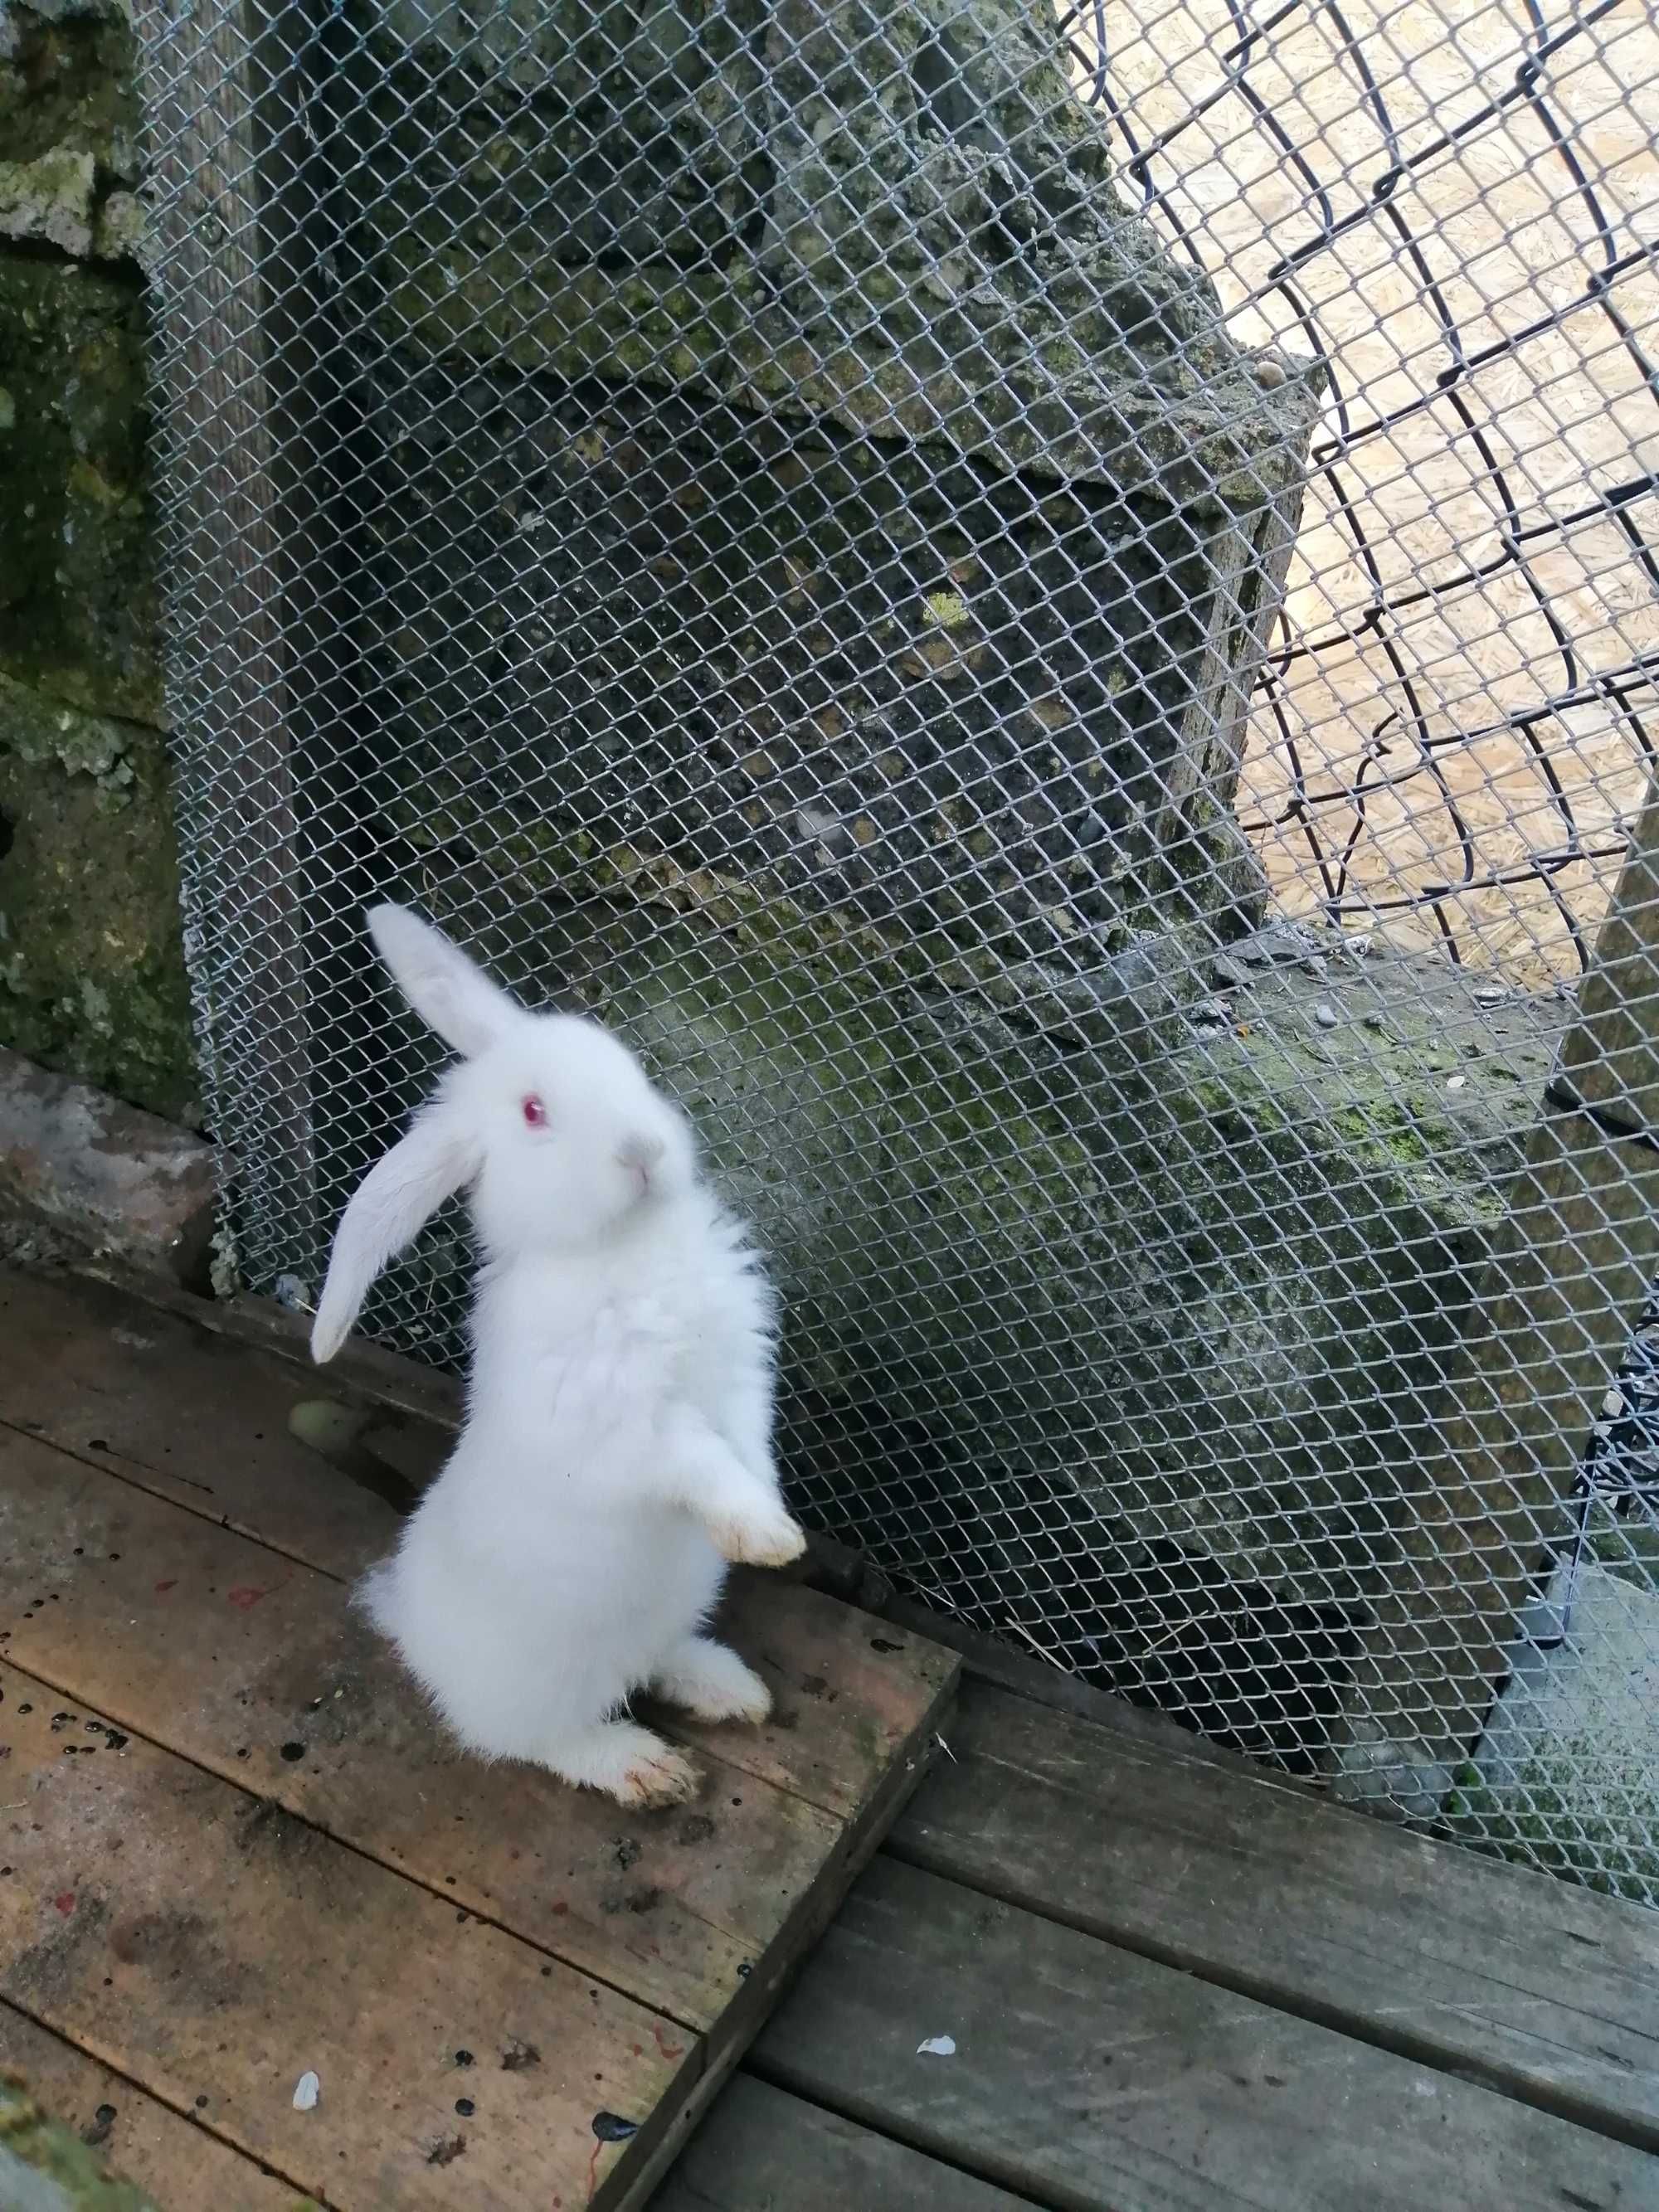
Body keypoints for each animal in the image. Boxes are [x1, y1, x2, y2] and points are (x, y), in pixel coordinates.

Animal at [314, 907, 810, 1805]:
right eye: (535, 1112)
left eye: (626, 1062)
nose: (642, 1149)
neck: (620, 1244)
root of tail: (406, 1614)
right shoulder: (623, 1426)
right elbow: (695, 1457)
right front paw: (762, 1533)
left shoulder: (740, 1375)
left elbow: (749, 1445)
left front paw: (770, 1523)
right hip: (537, 1686)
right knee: (531, 1738)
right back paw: (643, 1767)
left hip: (664, 1615)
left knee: (651, 1662)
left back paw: (728, 1689)